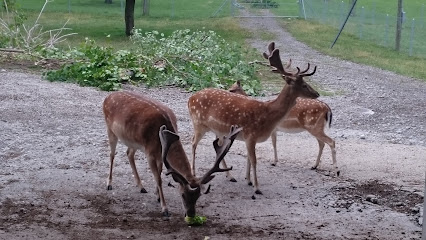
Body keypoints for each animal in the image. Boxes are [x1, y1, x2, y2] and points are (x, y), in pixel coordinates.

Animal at [102, 90, 243, 218]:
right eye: (183, 195)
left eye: (198, 196)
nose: (191, 214)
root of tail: (108, 97)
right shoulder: (150, 152)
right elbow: (159, 179)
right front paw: (164, 209)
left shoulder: (159, 154)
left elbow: (159, 173)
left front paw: (157, 196)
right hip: (110, 129)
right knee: (112, 154)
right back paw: (109, 184)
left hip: (133, 141)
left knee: (129, 153)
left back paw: (141, 186)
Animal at [189, 42, 320, 197]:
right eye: (304, 85)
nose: (317, 94)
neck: (268, 114)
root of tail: (190, 98)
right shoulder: (251, 134)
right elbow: (254, 160)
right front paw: (257, 188)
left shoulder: (250, 138)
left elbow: (249, 159)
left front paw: (248, 180)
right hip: (198, 123)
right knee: (193, 143)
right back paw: (194, 173)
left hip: (218, 130)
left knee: (216, 146)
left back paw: (230, 176)